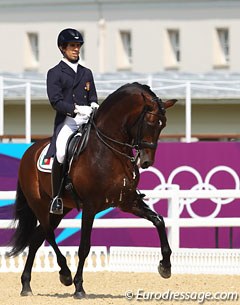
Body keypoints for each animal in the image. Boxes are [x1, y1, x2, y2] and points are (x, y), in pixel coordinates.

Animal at [8, 81, 176, 296]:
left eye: (163, 125)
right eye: (150, 122)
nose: (147, 161)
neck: (109, 150)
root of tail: (29, 151)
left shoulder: (128, 202)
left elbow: (159, 221)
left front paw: (165, 266)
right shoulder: (90, 206)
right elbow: (84, 247)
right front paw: (79, 287)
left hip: (61, 210)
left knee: (37, 238)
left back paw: (26, 284)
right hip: (40, 205)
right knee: (48, 234)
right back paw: (65, 274)